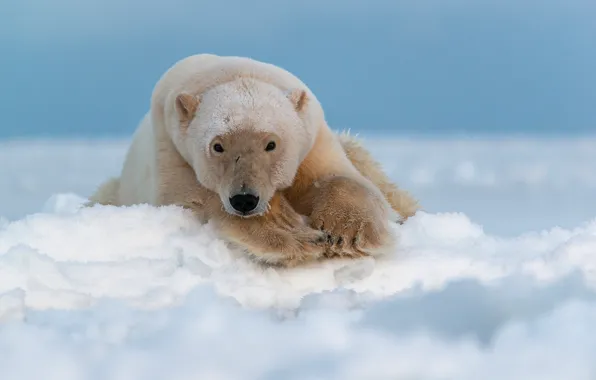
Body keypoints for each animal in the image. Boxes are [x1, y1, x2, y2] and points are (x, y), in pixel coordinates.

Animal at [89, 53, 420, 268]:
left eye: (270, 143)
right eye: (217, 146)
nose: (245, 199)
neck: (232, 73)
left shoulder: (313, 140)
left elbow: (340, 178)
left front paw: (344, 233)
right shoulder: (172, 149)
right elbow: (198, 199)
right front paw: (298, 235)